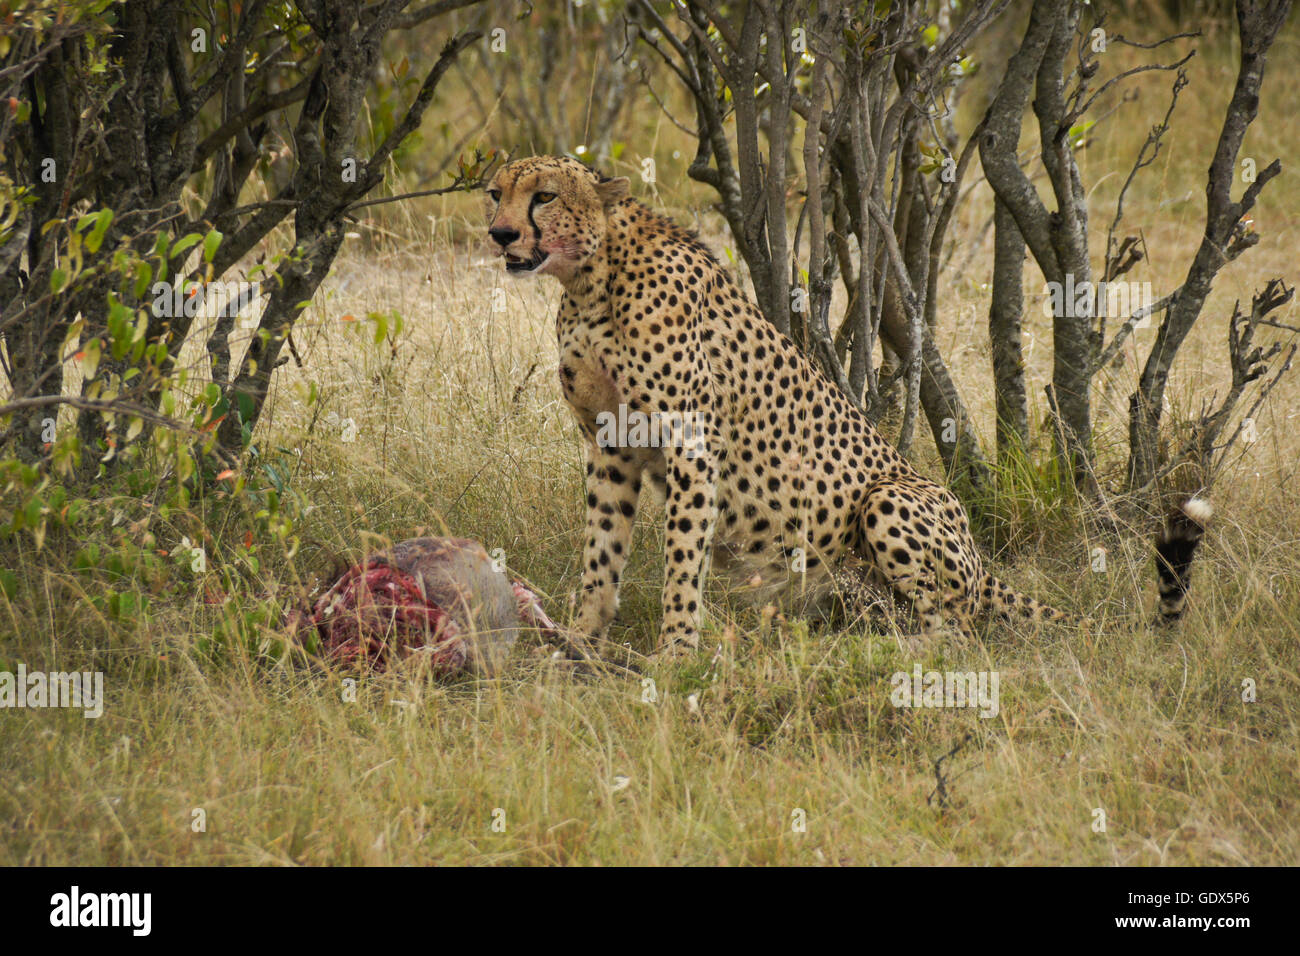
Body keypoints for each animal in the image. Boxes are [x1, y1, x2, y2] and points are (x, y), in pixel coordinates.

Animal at [483, 155, 1211, 650]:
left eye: (543, 197)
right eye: (496, 193)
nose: (499, 235)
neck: (590, 280)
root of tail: (983, 562)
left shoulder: (689, 446)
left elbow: (681, 560)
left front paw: (675, 651)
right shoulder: (610, 444)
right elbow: (601, 552)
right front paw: (582, 638)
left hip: (889, 498)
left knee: (956, 632)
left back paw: (896, 652)